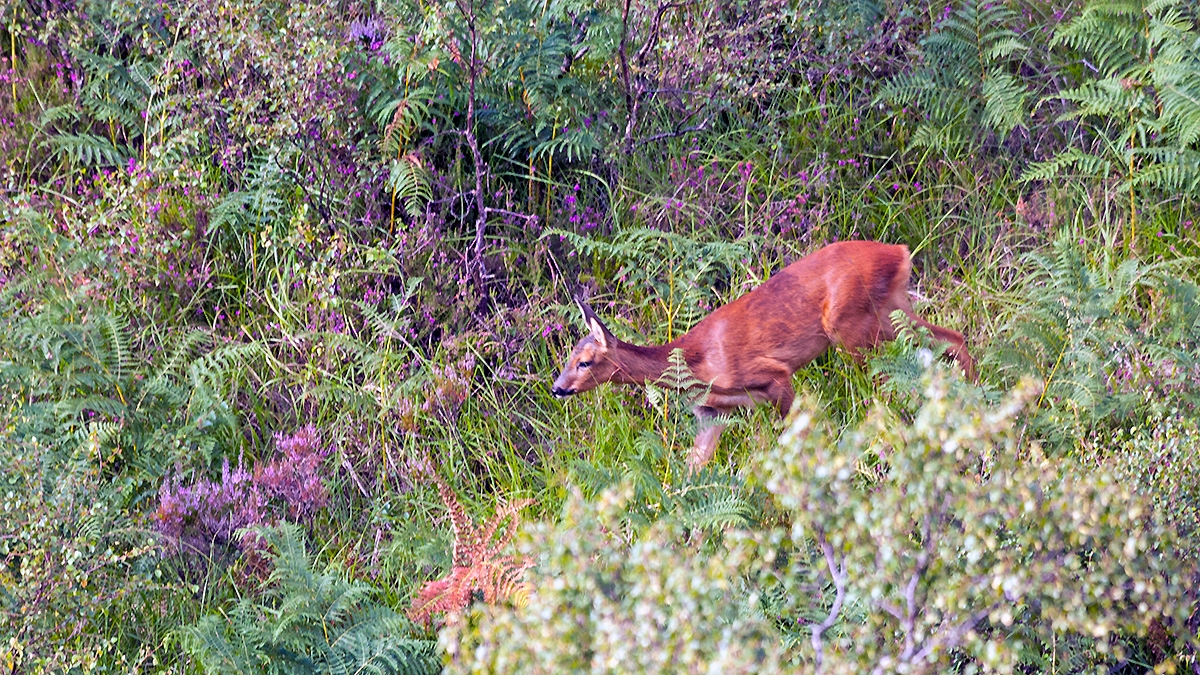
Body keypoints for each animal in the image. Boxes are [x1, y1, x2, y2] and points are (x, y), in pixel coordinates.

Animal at [550, 240, 976, 467]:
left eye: (585, 362)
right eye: (567, 358)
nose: (557, 388)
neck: (697, 363)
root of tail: (900, 252)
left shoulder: (775, 375)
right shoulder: (713, 413)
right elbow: (693, 469)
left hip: (851, 327)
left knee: (892, 379)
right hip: (890, 310)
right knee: (951, 339)